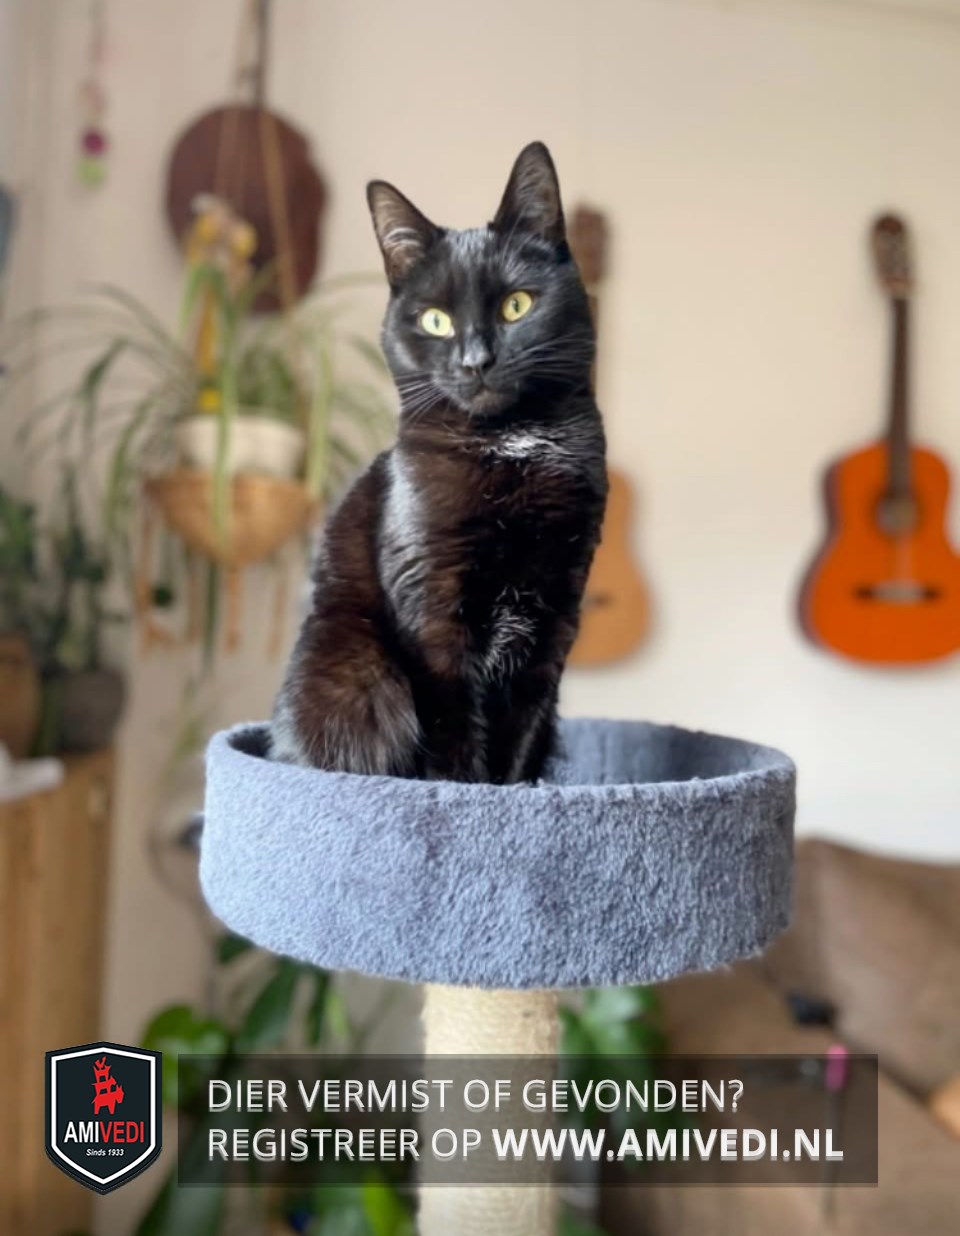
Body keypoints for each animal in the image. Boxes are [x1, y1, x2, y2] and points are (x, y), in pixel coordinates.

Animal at [270, 141, 607, 783]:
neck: (511, 447)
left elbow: (522, 734)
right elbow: (453, 739)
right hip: (358, 677)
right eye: (436, 320)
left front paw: (514, 793)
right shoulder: (432, 616)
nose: (477, 361)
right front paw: (462, 794)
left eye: (516, 305)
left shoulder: (559, 611)